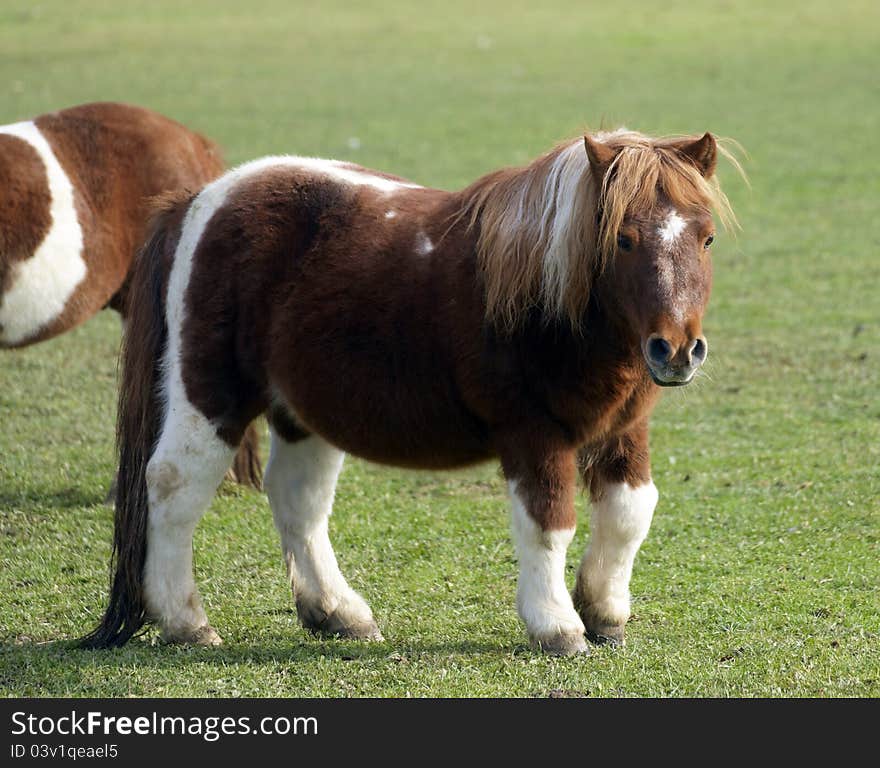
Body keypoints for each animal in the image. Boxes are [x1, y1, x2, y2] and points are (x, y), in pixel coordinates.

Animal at [82, 127, 740, 656]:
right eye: (624, 239)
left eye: (706, 239)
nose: (676, 351)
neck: (550, 299)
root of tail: (199, 202)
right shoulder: (534, 437)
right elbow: (548, 524)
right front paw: (558, 626)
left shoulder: (624, 429)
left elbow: (631, 511)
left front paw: (604, 614)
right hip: (210, 396)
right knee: (174, 485)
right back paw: (186, 622)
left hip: (301, 413)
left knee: (298, 501)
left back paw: (339, 614)